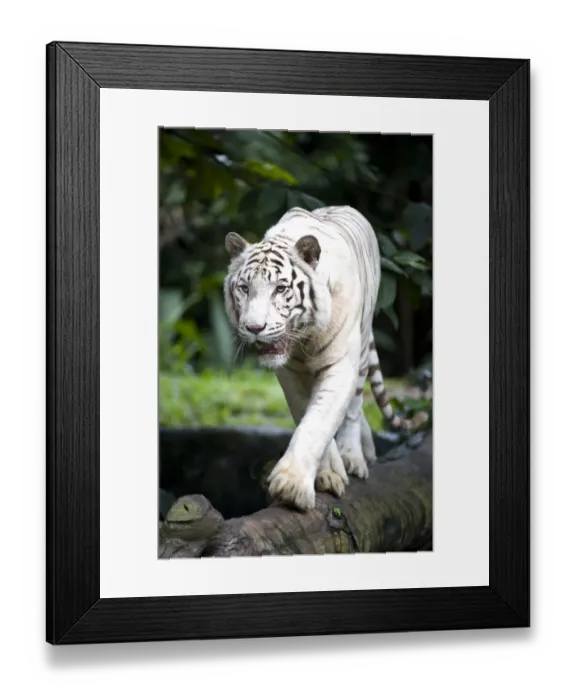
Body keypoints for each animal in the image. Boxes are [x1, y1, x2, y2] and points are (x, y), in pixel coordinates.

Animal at [223, 205, 428, 512]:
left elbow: (320, 420)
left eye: (280, 289)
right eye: (245, 288)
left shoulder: (341, 365)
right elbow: (307, 415)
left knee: (354, 408)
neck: (304, 336)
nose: (254, 328)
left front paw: (291, 485)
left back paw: (354, 457)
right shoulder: (291, 374)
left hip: (361, 349)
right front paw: (328, 474)